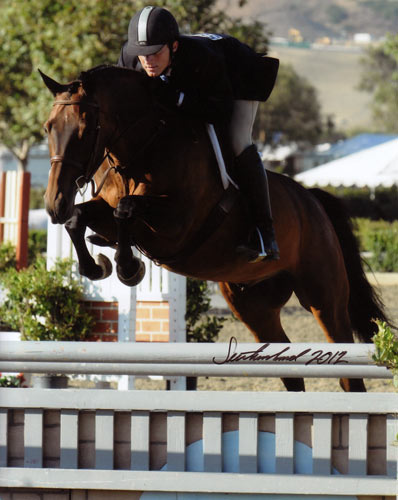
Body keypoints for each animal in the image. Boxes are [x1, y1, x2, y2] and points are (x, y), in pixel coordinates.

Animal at [39, 63, 388, 390]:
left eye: (85, 130)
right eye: (48, 127)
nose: (54, 203)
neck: (144, 148)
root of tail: (312, 201)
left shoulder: (173, 227)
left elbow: (125, 210)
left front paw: (128, 268)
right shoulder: (108, 212)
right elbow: (80, 219)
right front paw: (97, 266)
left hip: (324, 298)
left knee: (348, 371)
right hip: (253, 306)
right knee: (290, 372)